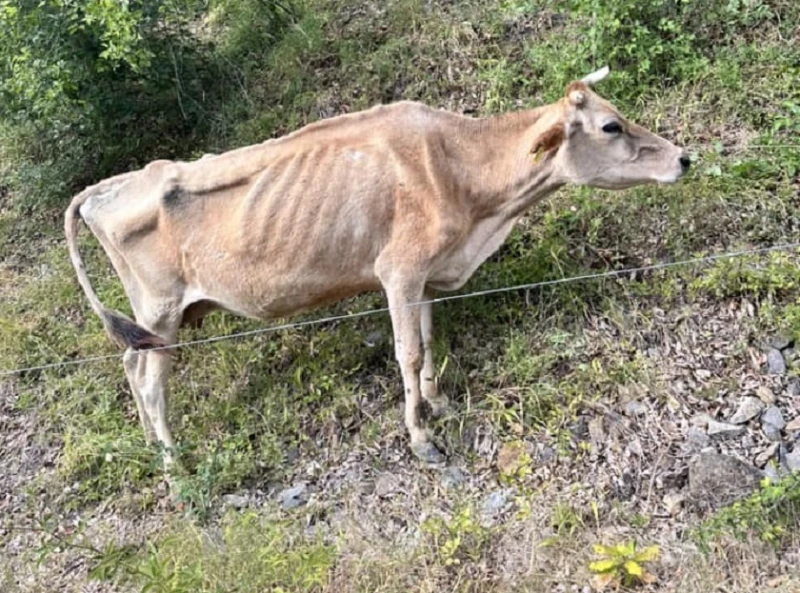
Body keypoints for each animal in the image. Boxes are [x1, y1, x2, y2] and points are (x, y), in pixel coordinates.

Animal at [64, 68, 688, 468]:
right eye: (611, 126)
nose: (684, 156)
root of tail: (112, 183)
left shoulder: (428, 273)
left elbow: (431, 339)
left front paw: (438, 402)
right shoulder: (399, 269)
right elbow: (407, 352)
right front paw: (420, 437)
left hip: (152, 320)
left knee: (129, 368)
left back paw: (151, 446)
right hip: (160, 311)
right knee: (149, 380)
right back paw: (174, 466)